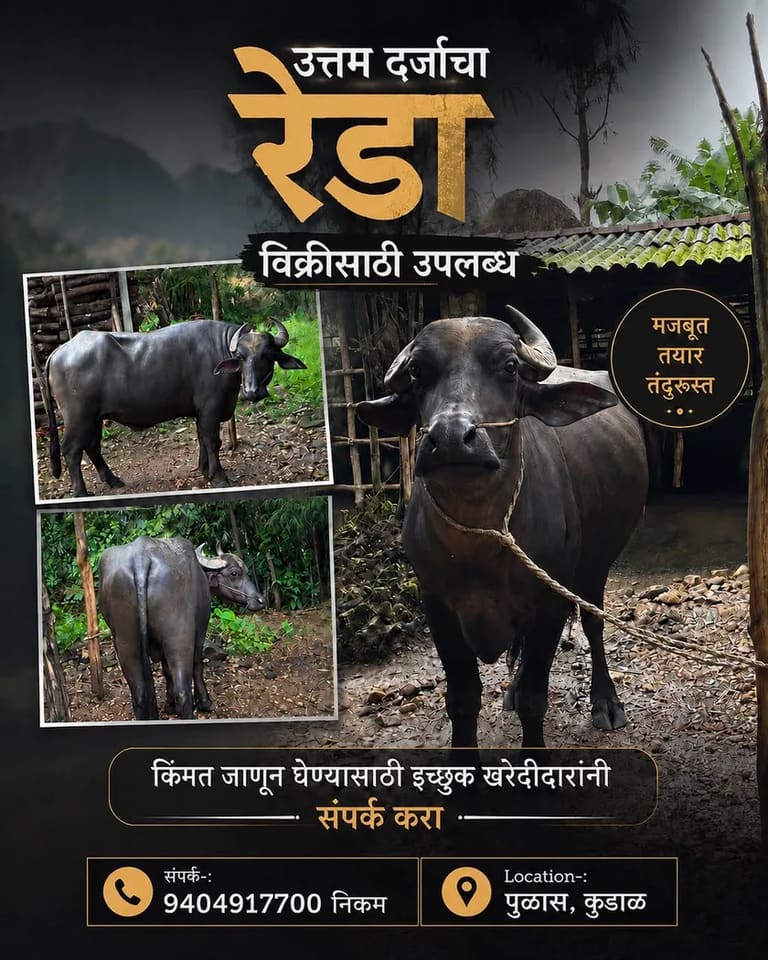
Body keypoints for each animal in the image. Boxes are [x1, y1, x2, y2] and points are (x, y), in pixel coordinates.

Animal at [42, 317, 306, 497]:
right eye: (241, 357)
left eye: (267, 355)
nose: (251, 391)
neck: (221, 351)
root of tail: (60, 350)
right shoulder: (210, 408)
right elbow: (212, 441)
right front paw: (219, 477)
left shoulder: (202, 412)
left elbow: (202, 439)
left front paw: (204, 470)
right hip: (78, 417)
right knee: (72, 449)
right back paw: (80, 492)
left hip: (94, 417)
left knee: (92, 446)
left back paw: (113, 480)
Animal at [98, 537, 264, 720]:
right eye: (234, 573)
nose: (260, 600)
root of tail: (140, 560)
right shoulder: (200, 631)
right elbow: (197, 665)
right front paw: (205, 702)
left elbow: (166, 670)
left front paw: (170, 706)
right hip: (179, 637)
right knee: (183, 691)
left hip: (126, 642)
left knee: (139, 694)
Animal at [357, 307, 648, 748]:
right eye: (418, 371)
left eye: (510, 367)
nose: (451, 438)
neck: (480, 545)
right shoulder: (437, 605)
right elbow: (462, 699)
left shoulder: (550, 602)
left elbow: (534, 697)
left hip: (596, 565)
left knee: (593, 622)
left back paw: (606, 702)